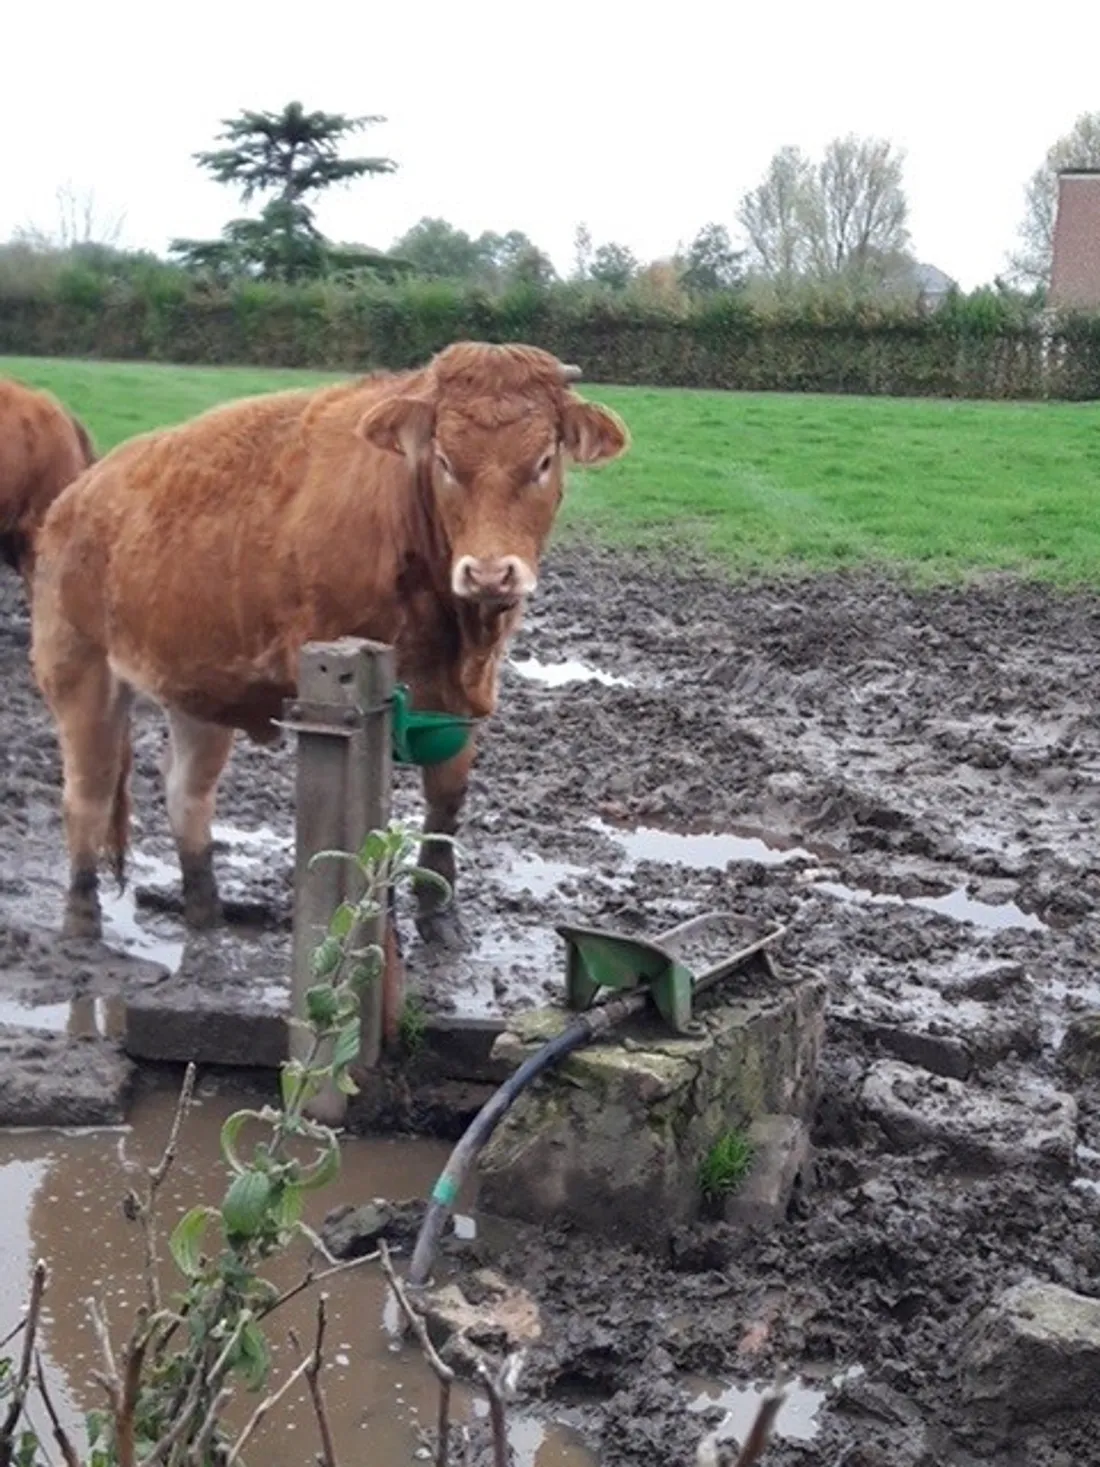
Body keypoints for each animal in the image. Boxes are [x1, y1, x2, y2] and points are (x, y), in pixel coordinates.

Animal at [30, 341, 630, 947]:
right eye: (443, 461)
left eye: (544, 461)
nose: (489, 574)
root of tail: (77, 493)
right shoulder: (359, 705)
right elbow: (369, 816)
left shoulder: (458, 703)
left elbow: (446, 800)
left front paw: (440, 914)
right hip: (79, 669)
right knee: (87, 793)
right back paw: (82, 918)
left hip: (196, 693)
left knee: (187, 796)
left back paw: (206, 915)